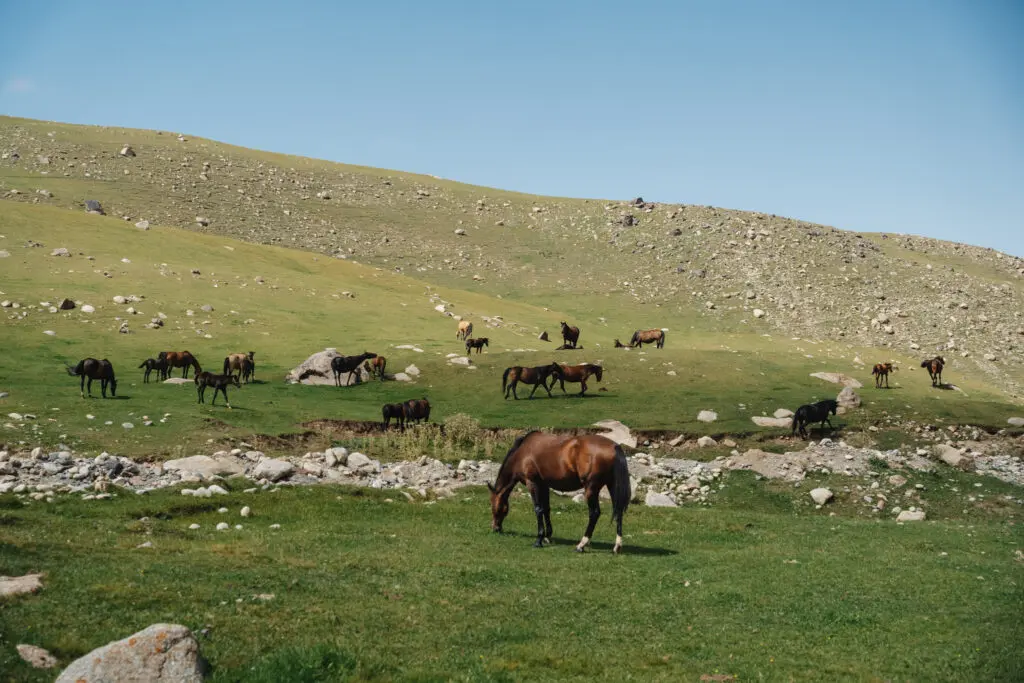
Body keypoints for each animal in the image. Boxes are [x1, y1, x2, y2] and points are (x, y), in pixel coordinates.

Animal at [489, 432, 630, 557]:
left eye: (494, 507)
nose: (495, 528)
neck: (522, 452)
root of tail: (614, 446)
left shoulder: (532, 483)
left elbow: (538, 509)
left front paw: (539, 539)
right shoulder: (544, 485)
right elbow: (546, 509)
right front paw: (547, 536)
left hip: (591, 489)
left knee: (594, 513)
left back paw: (581, 545)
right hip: (612, 486)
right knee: (618, 512)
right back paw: (617, 546)